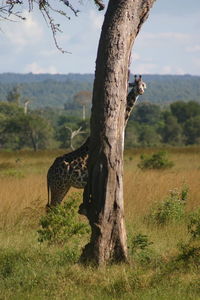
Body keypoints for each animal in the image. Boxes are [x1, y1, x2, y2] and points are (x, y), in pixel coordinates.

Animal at [46, 75, 146, 210]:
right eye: (135, 84)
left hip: (64, 186)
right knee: (52, 208)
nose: (140, 91)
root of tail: (49, 172)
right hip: (59, 186)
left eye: (143, 84)